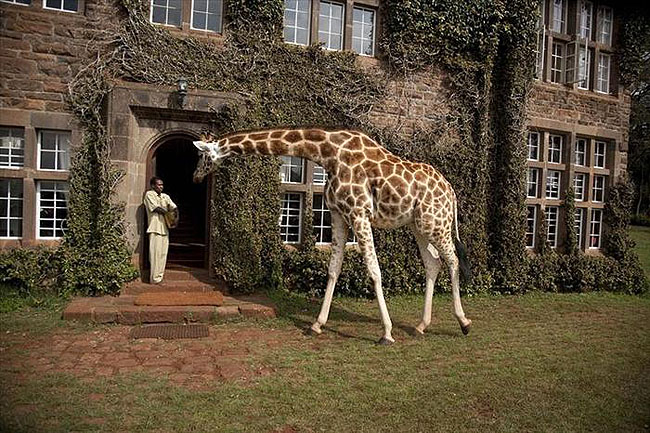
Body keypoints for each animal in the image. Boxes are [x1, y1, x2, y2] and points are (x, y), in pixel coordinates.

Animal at [192, 127, 472, 344]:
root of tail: (452, 192)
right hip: (420, 225)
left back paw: (464, 322)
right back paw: (421, 326)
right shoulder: (338, 214)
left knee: (453, 260)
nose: (195, 177)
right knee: (433, 263)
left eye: (201, 154)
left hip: (436, 224)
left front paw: (387, 333)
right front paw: (317, 324)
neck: (328, 154)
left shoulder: (359, 213)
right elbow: (333, 270)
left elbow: (374, 271)